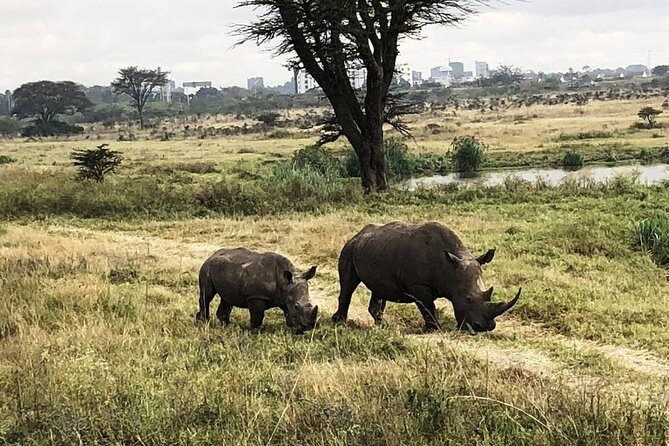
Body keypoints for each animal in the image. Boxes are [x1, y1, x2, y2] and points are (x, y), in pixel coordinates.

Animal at [332, 221, 520, 332]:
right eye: (468, 299)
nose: (485, 327)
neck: (449, 269)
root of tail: (357, 234)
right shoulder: (418, 284)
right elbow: (427, 306)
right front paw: (434, 329)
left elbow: (428, 306)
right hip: (349, 249)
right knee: (348, 285)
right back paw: (340, 323)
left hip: (374, 251)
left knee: (379, 289)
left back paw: (382, 326)